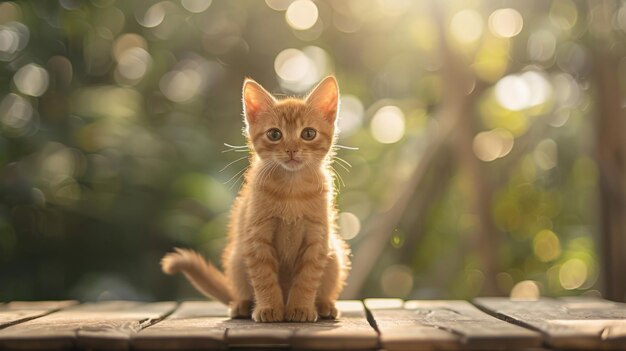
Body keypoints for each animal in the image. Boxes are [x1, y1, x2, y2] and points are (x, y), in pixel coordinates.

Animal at [158, 75, 348, 324]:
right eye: (274, 134)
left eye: (308, 133)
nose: (291, 150)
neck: (291, 189)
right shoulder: (257, 238)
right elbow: (263, 277)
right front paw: (269, 307)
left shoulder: (317, 239)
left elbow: (307, 278)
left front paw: (300, 307)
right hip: (237, 258)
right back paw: (242, 305)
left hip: (334, 255)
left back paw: (324, 305)